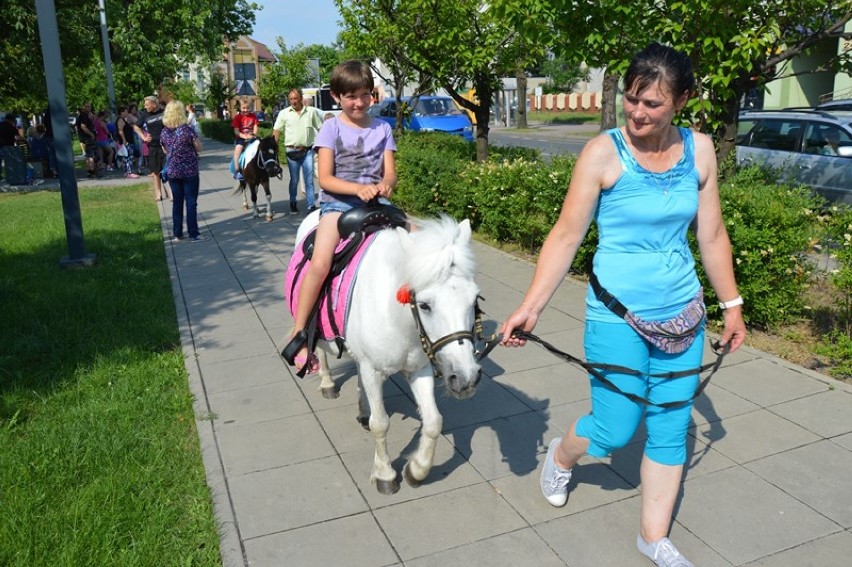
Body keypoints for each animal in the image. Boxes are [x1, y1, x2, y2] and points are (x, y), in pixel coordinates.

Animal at [292, 212, 482, 492]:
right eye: (424, 305)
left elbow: (434, 422)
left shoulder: (419, 369)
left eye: (475, 299)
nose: (466, 378)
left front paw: (416, 470)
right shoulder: (373, 369)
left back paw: (363, 409)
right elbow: (380, 424)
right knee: (321, 350)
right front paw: (385, 475)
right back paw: (327, 383)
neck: (400, 319)